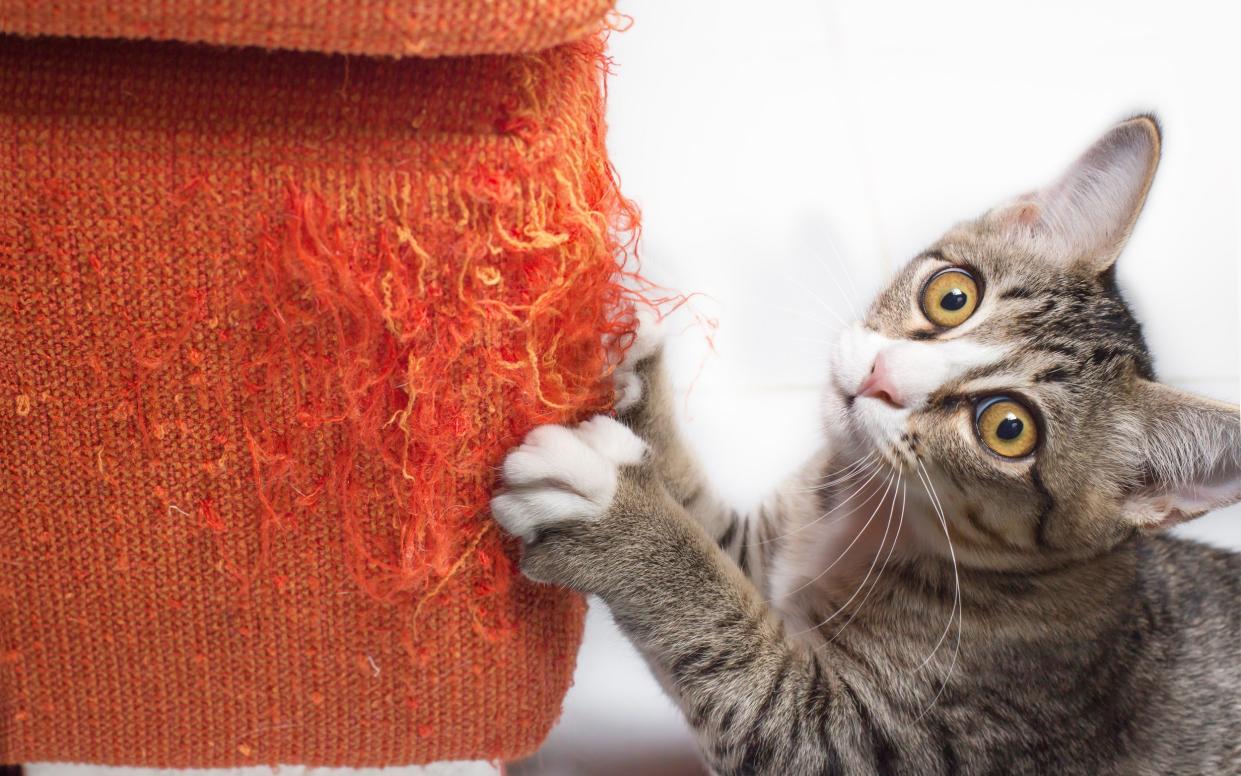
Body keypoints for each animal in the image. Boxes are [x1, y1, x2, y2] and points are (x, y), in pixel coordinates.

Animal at [486, 116, 1241, 774]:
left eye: (1007, 428)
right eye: (952, 294)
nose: (881, 376)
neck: (870, 512)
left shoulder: (858, 739)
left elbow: (739, 657)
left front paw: (617, 515)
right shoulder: (769, 546)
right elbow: (716, 536)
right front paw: (626, 361)